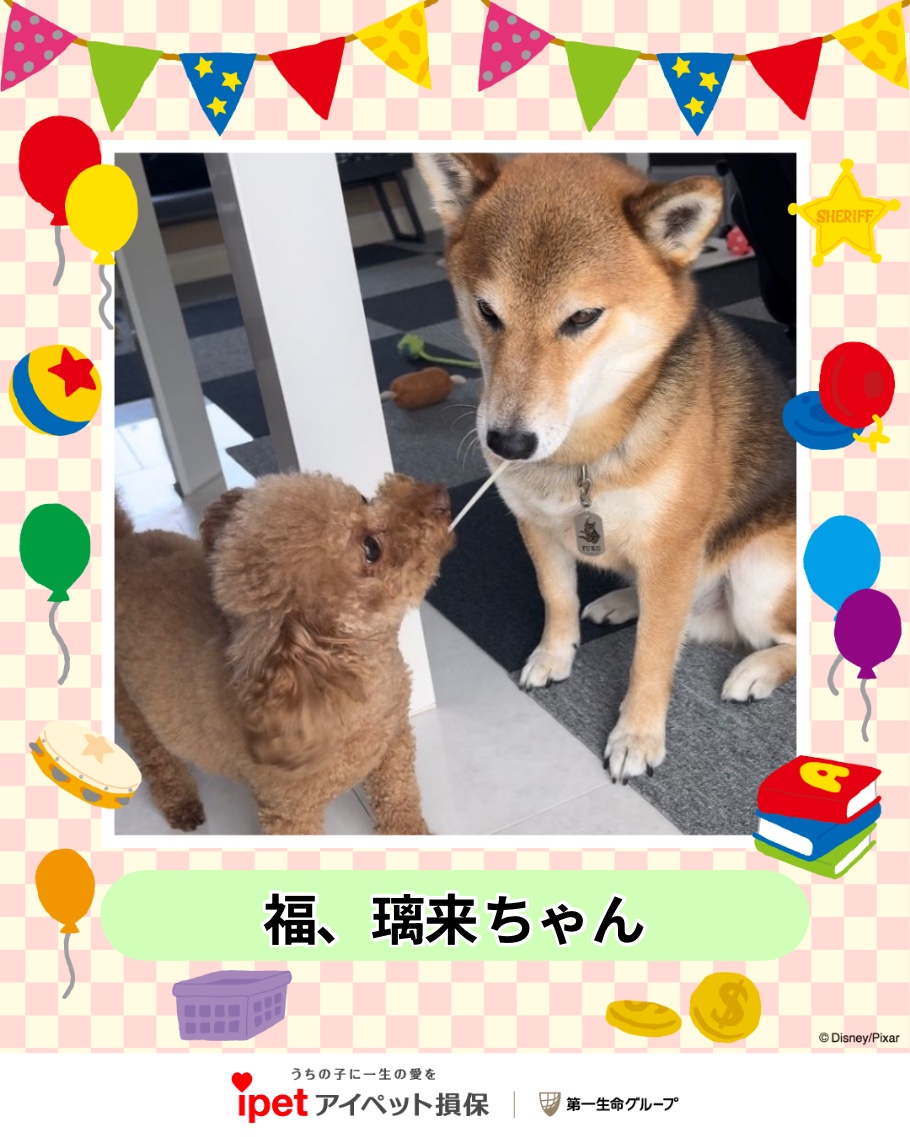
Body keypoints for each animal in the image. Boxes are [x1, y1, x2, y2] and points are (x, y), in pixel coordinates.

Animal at [115, 472, 453, 834]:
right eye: (371, 548)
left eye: (363, 499)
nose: (439, 495)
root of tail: (122, 544)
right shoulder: (288, 810)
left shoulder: (393, 745)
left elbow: (399, 798)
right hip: (132, 708)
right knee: (155, 758)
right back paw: (180, 802)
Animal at [418, 152, 796, 783]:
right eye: (487, 310)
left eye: (582, 318)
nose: (508, 443)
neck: (583, 456)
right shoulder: (537, 527)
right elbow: (557, 599)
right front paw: (553, 655)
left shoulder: (673, 547)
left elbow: (651, 659)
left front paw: (637, 737)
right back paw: (623, 602)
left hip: (757, 576)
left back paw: (756, 670)